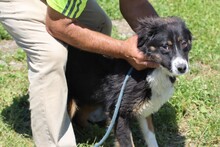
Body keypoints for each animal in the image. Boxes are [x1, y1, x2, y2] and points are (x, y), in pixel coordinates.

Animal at [65, 16, 192, 146]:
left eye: (184, 43)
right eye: (165, 46)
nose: (182, 68)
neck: (149, 70)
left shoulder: (145, 108)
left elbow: (151, 137)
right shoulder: (119, 112)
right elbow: (128, 142)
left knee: (80, 116)